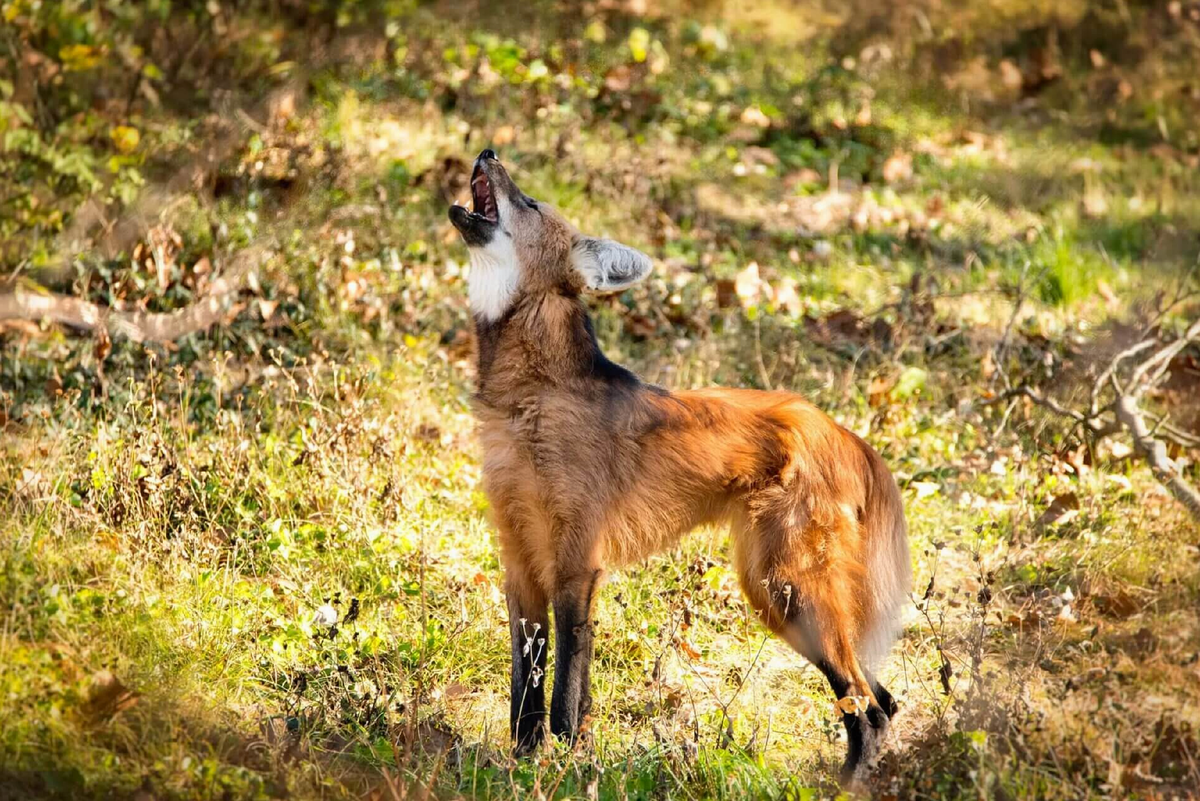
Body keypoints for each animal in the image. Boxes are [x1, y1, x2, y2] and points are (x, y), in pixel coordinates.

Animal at [448, 149, 907, 781]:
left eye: (532, 203)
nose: (488, 152)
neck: (527, 397)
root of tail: (842, 432)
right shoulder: (521, 561)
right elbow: (528, 686)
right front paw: (522, 762)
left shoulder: (575, 564)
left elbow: (565, 686)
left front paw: (563, 767)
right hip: (783, 597)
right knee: (883, 696)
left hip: (786, 589)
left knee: (869, 708)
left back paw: (846, 786)